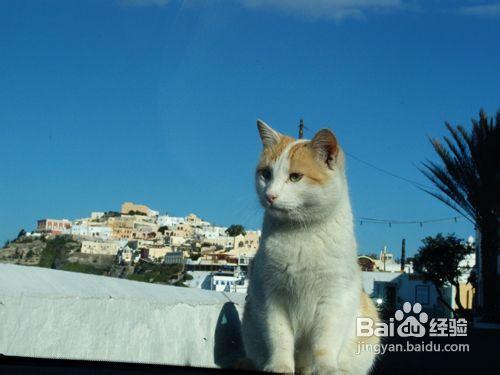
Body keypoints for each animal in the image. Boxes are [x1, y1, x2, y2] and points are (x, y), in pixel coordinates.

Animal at [240, 122, 376, 374]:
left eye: (295, 177)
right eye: (266, 174)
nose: (270, 195)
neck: (300, 233)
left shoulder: (334, 298)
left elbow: (325, 343)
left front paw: (325, 367)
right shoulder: (270, 298)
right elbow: (279, 337)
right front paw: (279, 365)